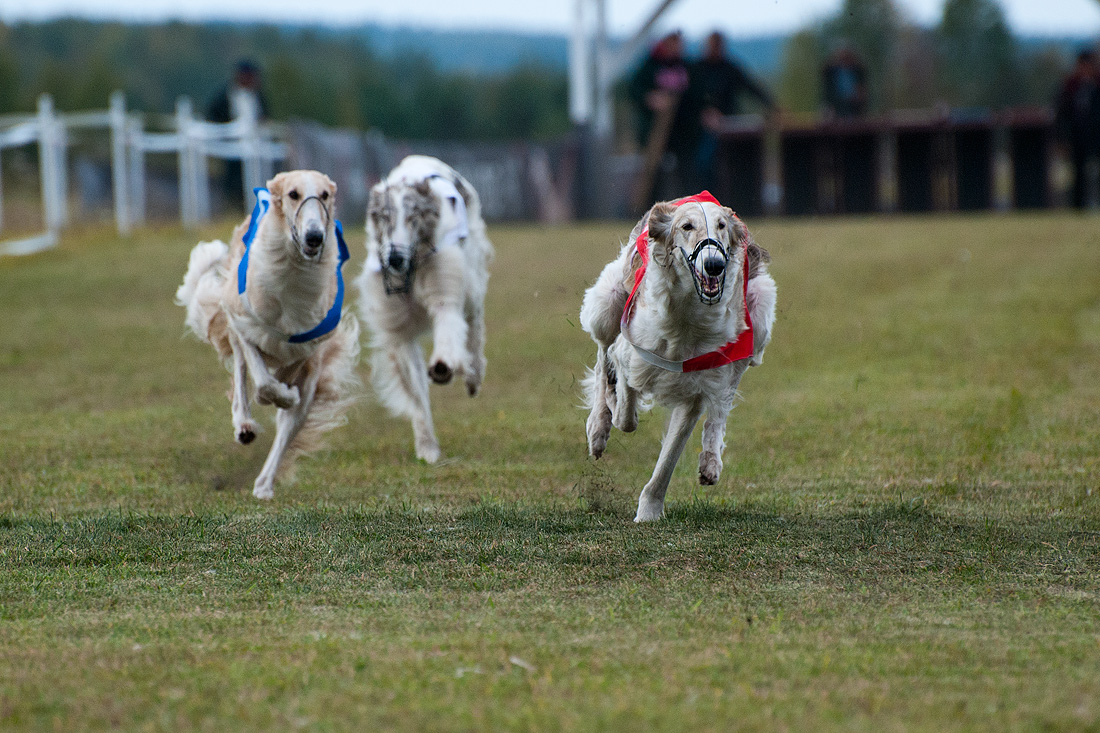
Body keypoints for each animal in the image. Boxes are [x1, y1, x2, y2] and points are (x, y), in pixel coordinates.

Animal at [173, 168, 358, 497]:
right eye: (293, 194)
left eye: (325, 195)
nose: (314, 237)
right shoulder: (245, 327)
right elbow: (262, 382)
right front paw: (275, 396)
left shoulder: (310, 354)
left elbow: (288, 400)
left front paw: (286, 395)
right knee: (242, 379)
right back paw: (245, 423)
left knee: (287, 425)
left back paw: (263, 484)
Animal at [354, 155, 492, 462]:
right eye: (385, 217)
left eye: (412, 217)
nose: (394, 258)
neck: (413, 266)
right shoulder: (398, 326)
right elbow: (417, 394)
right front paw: (427, 446)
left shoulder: (445, 289)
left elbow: (448, 327)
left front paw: (443, 366)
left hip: (471, 279)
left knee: (475, 324)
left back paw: (474, 375)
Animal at [580, 188, 778, 519]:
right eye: (687, 226)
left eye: (721, 226)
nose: (714, 265)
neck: (686, 318)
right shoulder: (630, 352)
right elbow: (626, 412)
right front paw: (612, 408)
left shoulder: (695, 390)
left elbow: (668, 459)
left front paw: (649, 511)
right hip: (607, 303)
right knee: (600, 359)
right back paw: (598, 427)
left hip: (758, 318)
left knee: (723, 402)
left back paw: (711, 460)